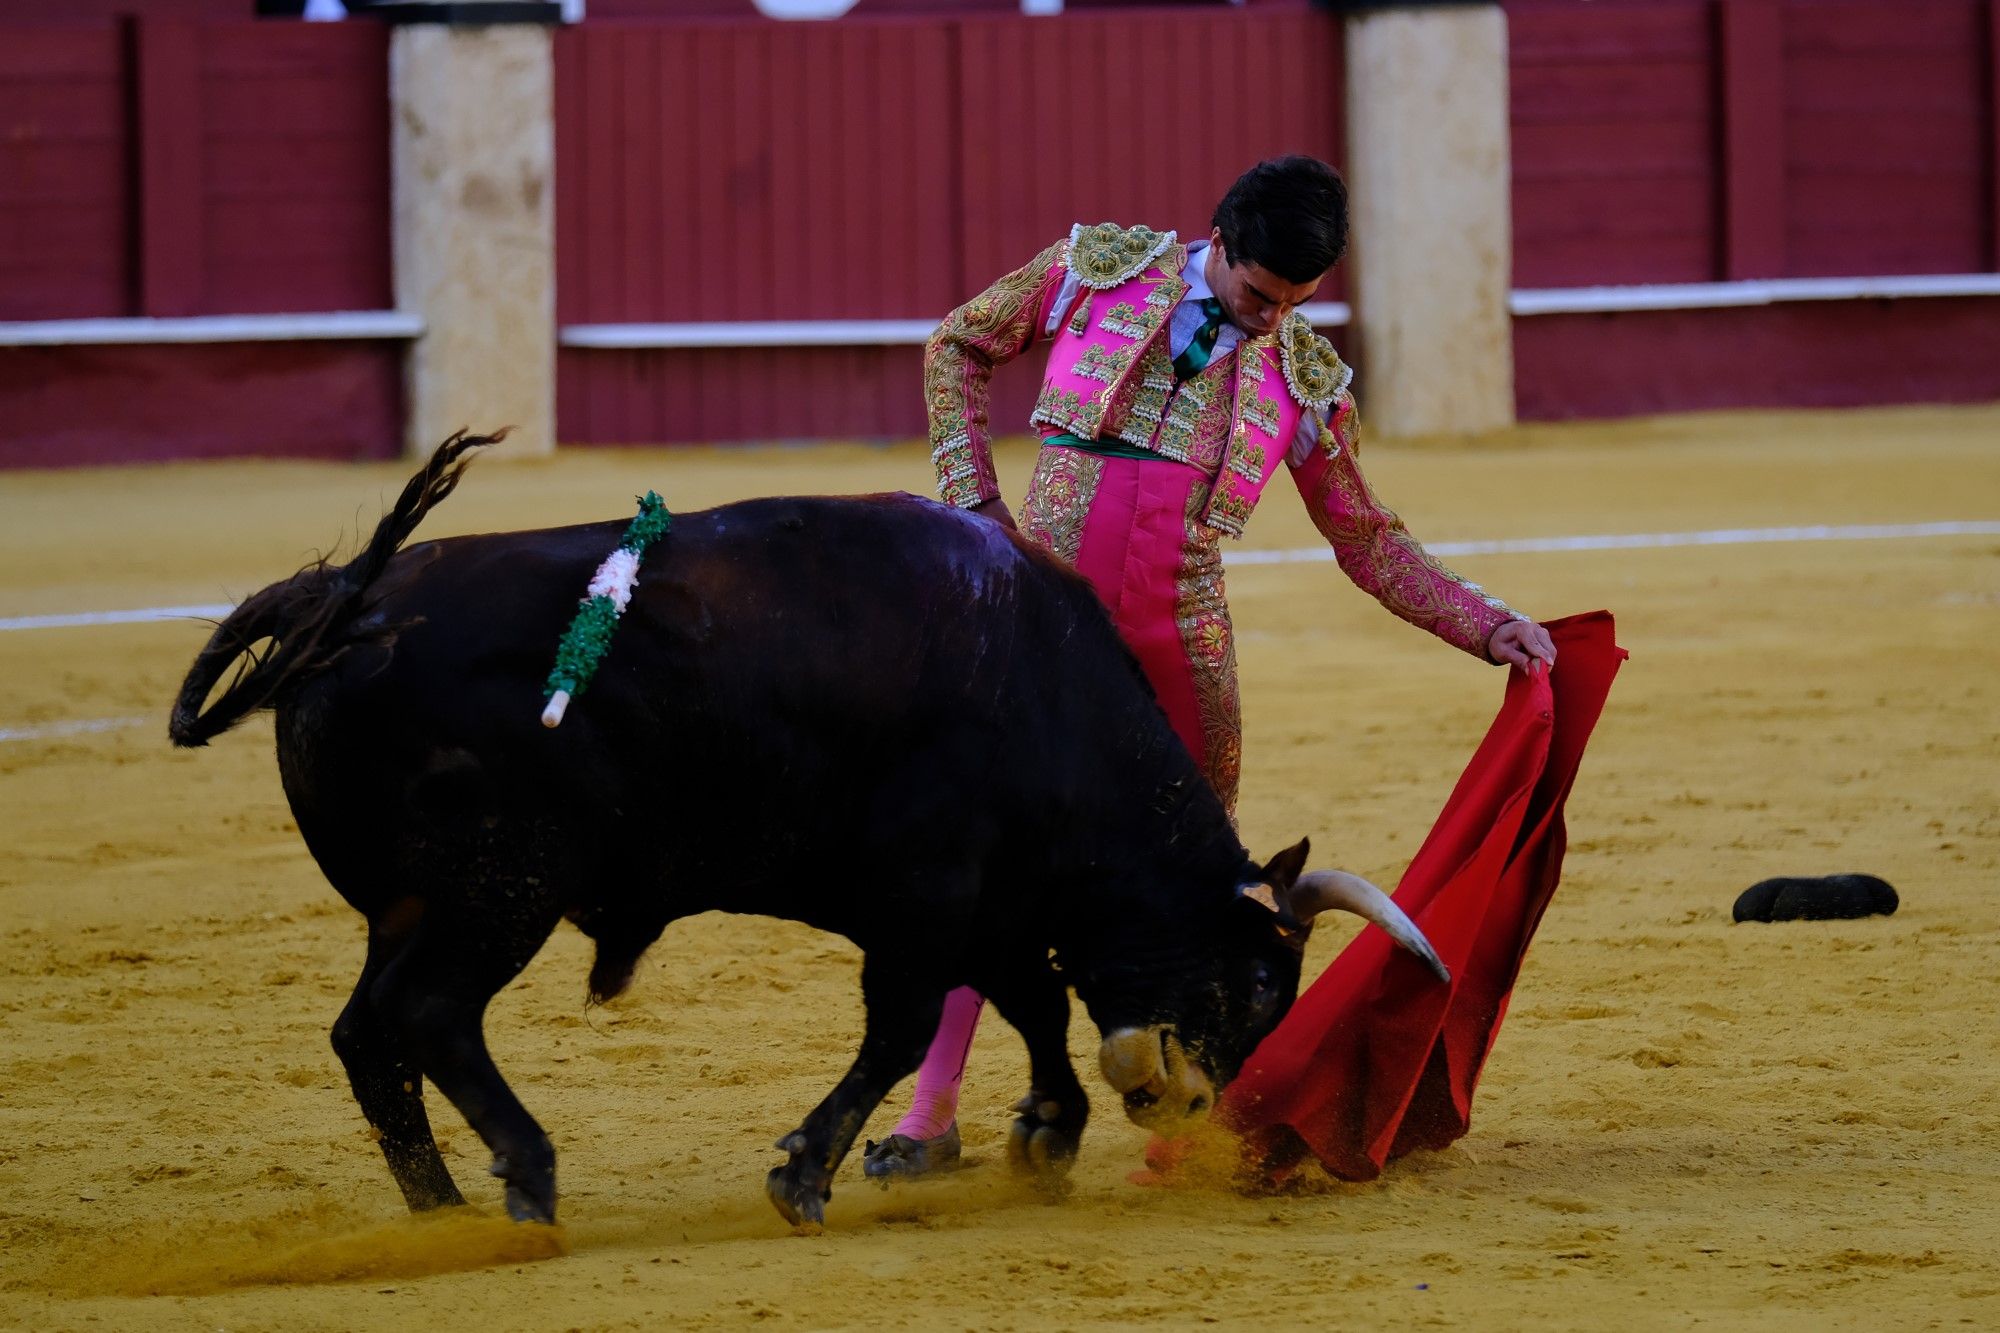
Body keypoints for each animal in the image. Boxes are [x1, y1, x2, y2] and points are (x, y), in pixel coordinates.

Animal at [168, 434, 1440, 1224]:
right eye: (1257, 980)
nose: (1180, 1103)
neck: (1040, 686)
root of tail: (351, 603)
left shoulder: (986, 903)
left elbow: (1028, 1000)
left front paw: (1046, 1136)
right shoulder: (928, 898)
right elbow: (907, 1024)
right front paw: (806, 1172)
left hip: (411, 903)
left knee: (366, 1034)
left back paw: (441, 1209)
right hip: (499, 890)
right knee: (430, 1015)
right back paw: (525, 1180)